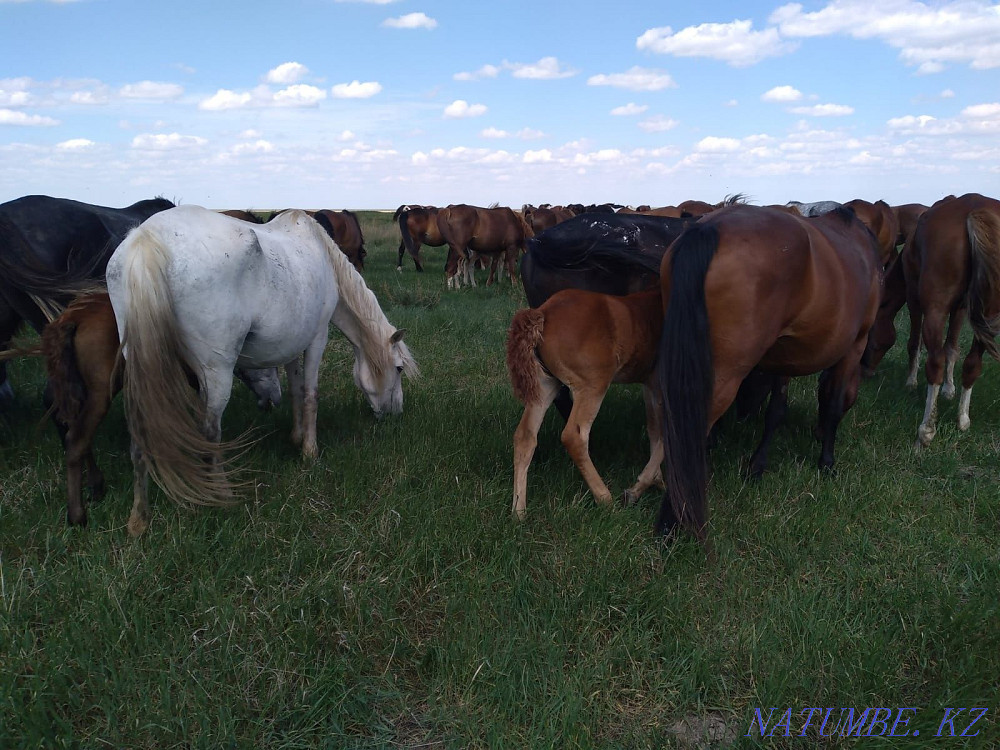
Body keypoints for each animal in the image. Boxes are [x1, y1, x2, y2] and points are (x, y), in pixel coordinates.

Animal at [101, 204, 414, 536]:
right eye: (398, 369)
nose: (396, 412)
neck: (322, 253)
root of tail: (147, 238)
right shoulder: (317, 338)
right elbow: (310, 394)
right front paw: (310, 451)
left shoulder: (291, 342)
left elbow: (295, 389)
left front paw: (296, 436)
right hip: (216, 371)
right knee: (210, 431)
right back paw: (221, 493)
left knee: (140, 433)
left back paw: (139, 518)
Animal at [508, 284, 664, 520]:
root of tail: (543, 312)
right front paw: (641, 488)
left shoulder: (651, 385)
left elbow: (655, 430)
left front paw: (658, 481)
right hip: (592, 384)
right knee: (574, 436)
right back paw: (606, 500)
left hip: (545, 385)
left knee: (525, 435)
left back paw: (518, 511)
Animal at [656, 206, 884, 548]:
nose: (816, 433)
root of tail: (710, 228)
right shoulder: (854, 347)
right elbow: (832, 405)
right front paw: (827, 462)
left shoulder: (783, 357)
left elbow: (776, 412)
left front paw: (757, 467)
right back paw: (672, 519)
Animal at [900, 194, 1000, 446]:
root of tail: (974, 208)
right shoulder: (962, 308)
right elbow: (952, 348)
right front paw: (949, 389)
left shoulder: (913, 299)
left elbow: (915, 344)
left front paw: (911, 381)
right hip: (988, 313)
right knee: (973, 363)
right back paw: (963, 418)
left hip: (935, 310)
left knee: (935, 361)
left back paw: (926, 429)